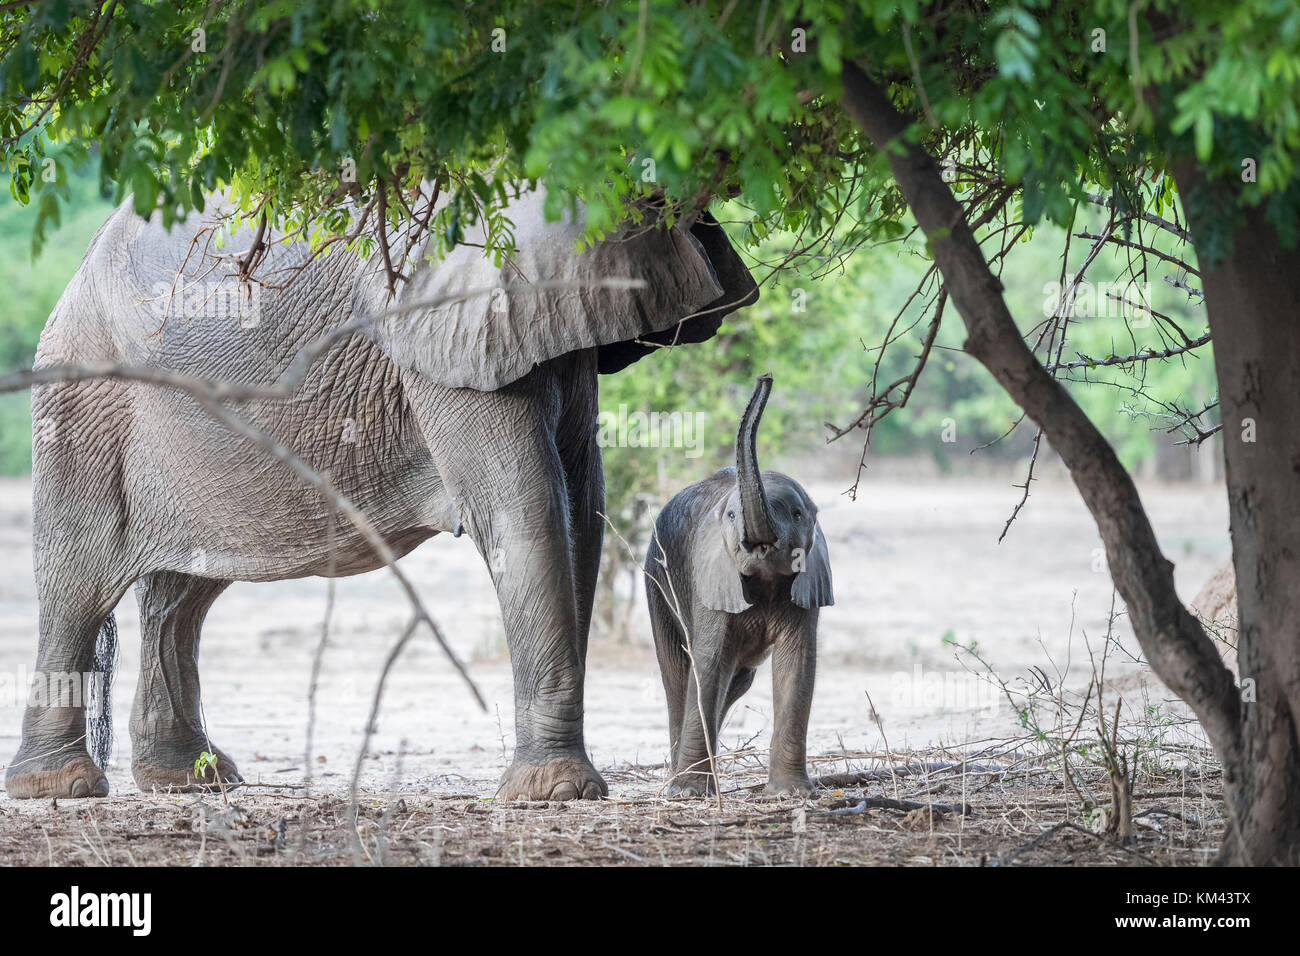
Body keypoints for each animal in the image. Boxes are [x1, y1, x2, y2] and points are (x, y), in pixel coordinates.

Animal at [3, 184, 757, 801]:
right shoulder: (447, 322)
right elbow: (526, 512)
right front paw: (555, 794)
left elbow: (582, 508)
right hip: (85, 402)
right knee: (77, 582)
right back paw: (60, 787)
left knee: (182, 592)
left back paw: (192, 779)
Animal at [644, 374, 833, 796]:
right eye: (731, 516)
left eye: (797, 514)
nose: (765, 378)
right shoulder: (711, 581)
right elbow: (709, 662)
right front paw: (689, 793)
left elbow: (797, 664)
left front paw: (790, 793)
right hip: (657, 581)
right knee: (678, 671)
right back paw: (676, 779)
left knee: (739, 679)